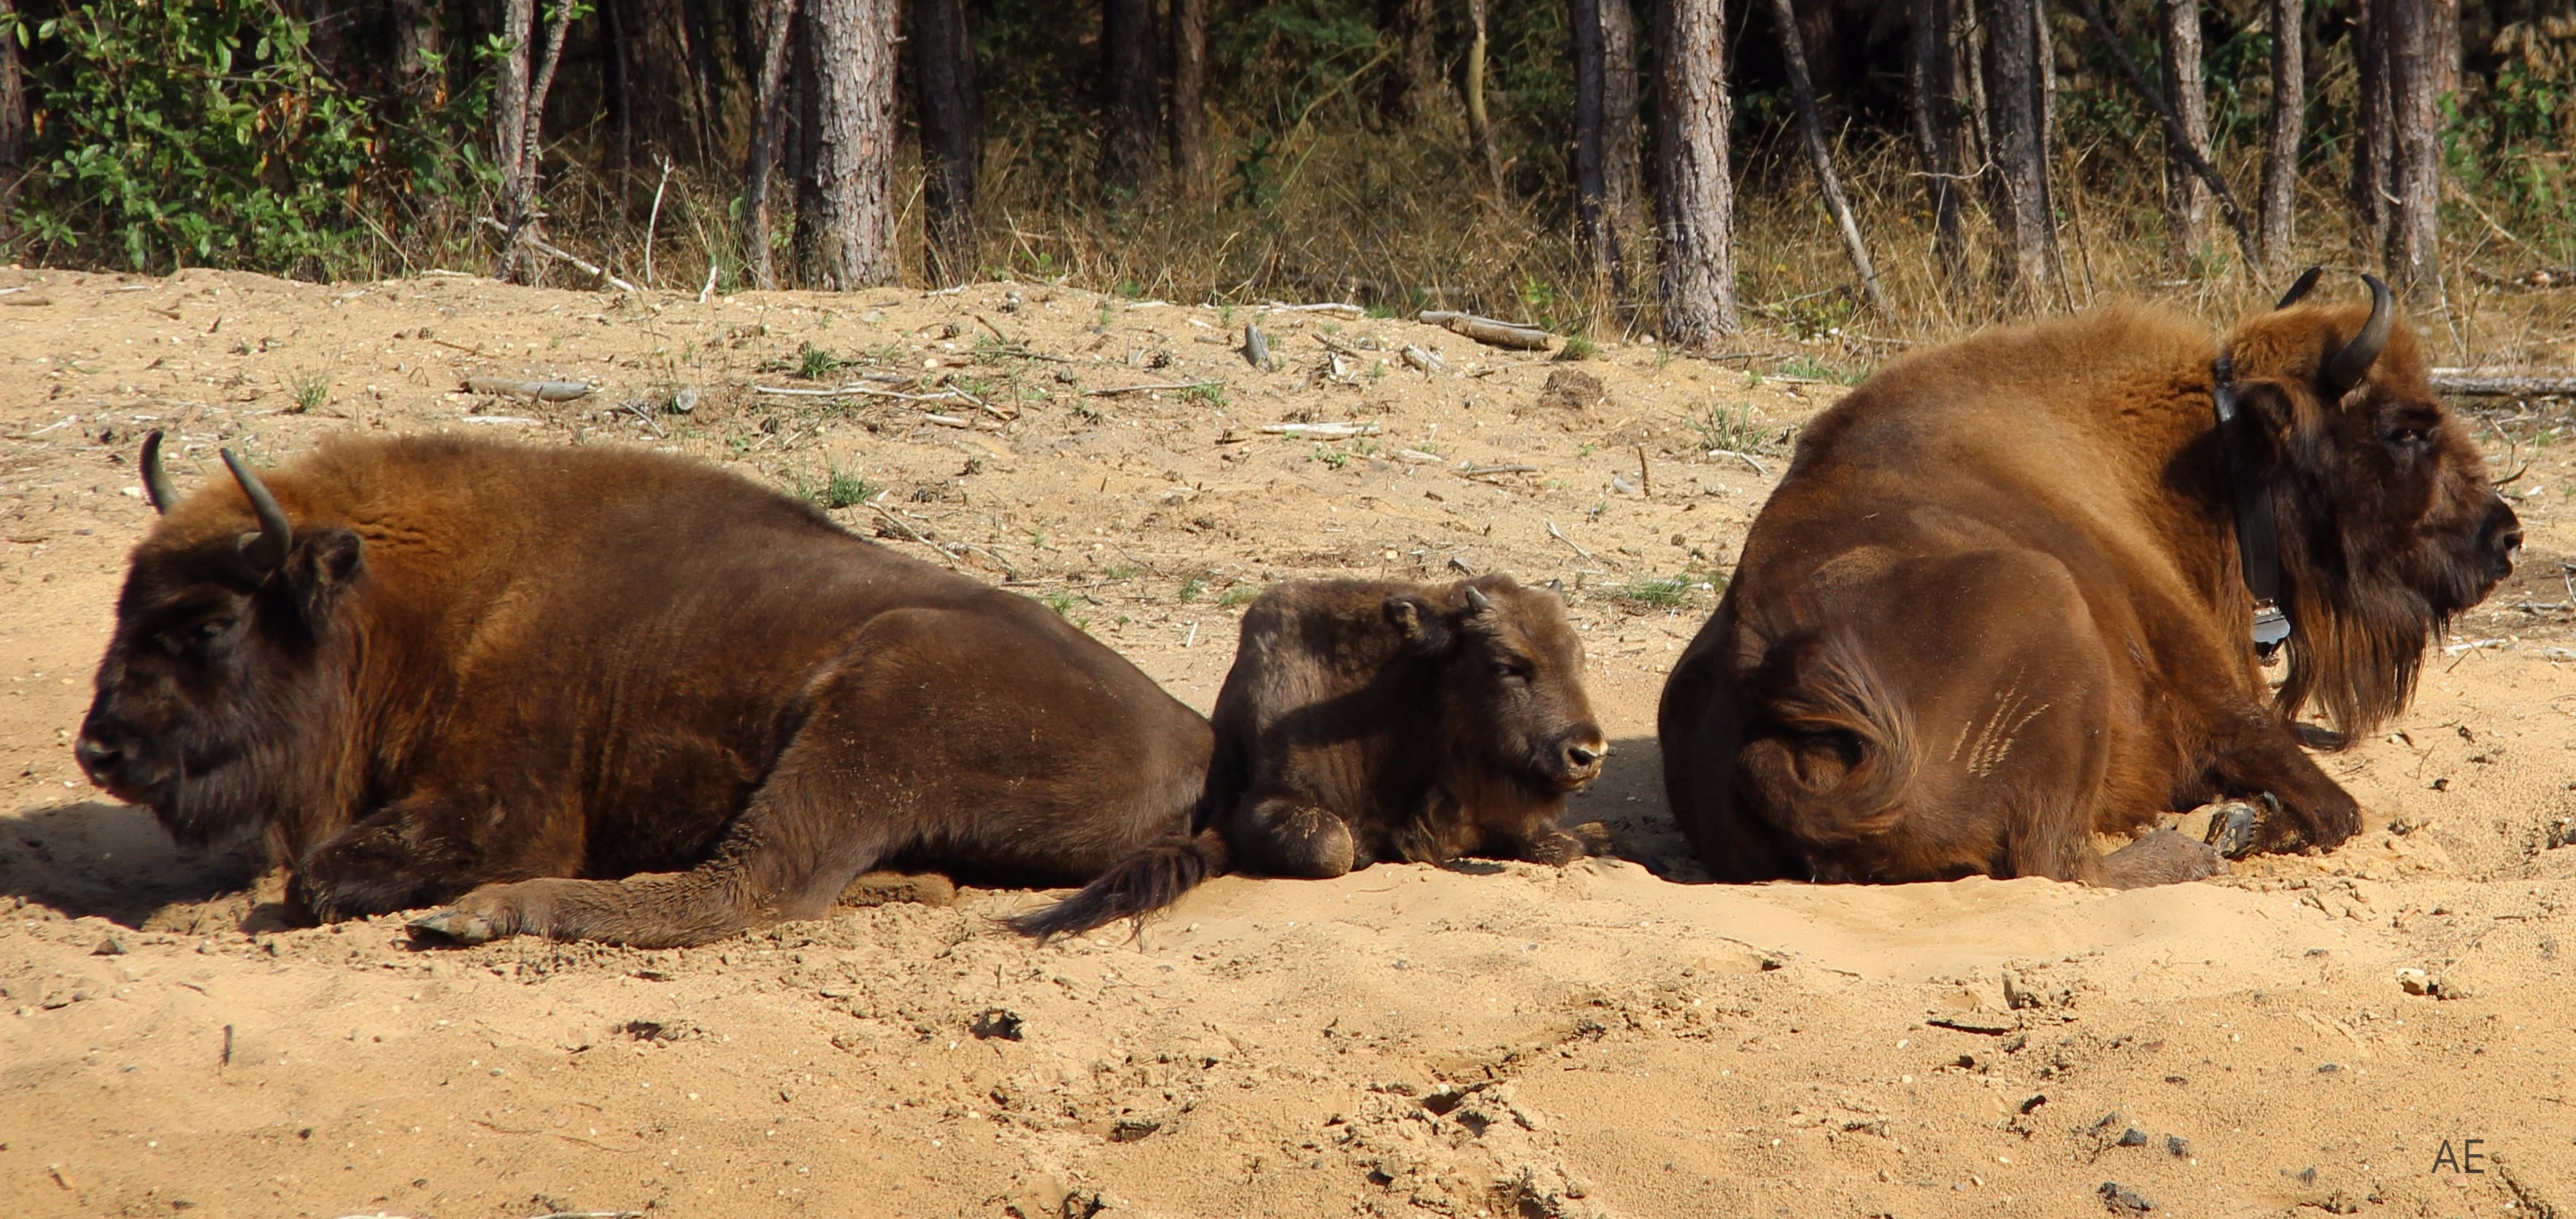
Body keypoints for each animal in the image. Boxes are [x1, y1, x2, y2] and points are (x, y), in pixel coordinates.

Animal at [73, 432, 1214, 947]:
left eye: (210, 624)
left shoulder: (505, 806)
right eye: (124, 605)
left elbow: (314, 879)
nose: (100, 748)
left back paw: (484, 915)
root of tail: (1197, 739)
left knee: (750, 885)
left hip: (879, 691)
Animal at [1012, 575, 1607, 936]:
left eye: (1577, 657)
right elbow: (1333, 847)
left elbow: (1561, 846)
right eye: (1508, 664)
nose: (1588, 752)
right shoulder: (1263, 809)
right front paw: (1364, 847)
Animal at [1658, 271, 2521, 887]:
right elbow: (2337, 809)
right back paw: (2198, 846)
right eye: (2403, 429)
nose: (2504, 537)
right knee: (2062, 862)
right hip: (2052, 601)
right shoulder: (2223, 706)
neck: (2211, 458)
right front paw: (2243, 821)